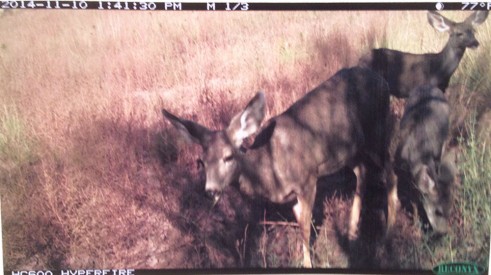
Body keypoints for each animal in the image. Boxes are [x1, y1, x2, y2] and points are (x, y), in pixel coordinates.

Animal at [162, 67, 400, 268]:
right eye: (201, 161)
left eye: (228, 157)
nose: (210, 190)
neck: (270, 171)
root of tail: (383, 80)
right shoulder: (292, 195)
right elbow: (301, 223)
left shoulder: (308, 179)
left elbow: (305, 227)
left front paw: (308, 265)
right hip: (349, 150)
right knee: (362, 171)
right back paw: (352, 232)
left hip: (377, 132)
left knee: (391, 173)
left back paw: (387, 236)